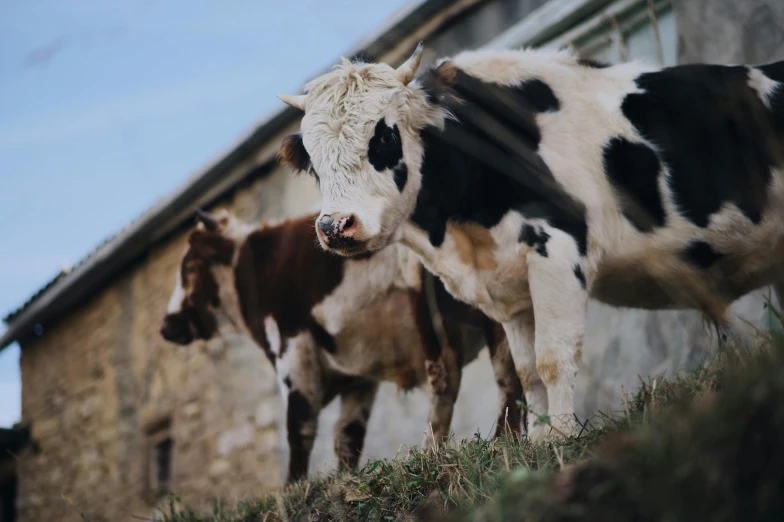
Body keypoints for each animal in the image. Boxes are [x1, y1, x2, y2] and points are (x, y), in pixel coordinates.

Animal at [160, 206, 524, 480]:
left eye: (191, 266)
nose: (167, 326)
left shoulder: (294, 349)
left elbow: (299, 426)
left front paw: (294, 491)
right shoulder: (358, 376)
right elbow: (347, 435)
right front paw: (344, 480)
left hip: (430, 309)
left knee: (446, 376)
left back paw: (432, 454)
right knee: (509, 367)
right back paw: (506, 441)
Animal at [278, 41, 784, 438]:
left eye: (383, 136)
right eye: (313, 161)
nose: (335, 227)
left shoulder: (556, 250)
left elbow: (553, 359)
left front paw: (563, 440)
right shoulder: (508, 292)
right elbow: (526, 373)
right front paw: (539, 445)